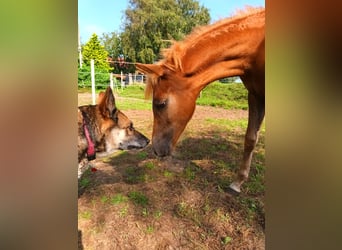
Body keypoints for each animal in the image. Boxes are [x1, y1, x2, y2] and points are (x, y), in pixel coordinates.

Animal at [136, 6, 264, 193]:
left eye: (161, 103)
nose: (156, 150)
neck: (257, 48)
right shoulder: (255, 95)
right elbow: (250, 139)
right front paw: (237, 182)